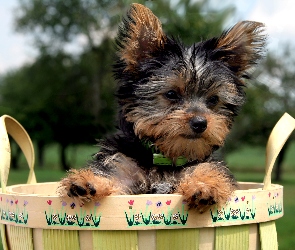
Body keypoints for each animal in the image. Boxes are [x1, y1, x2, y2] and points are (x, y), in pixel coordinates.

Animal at [59, 2, 268, 212]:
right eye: (171, 94)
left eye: (213, 100)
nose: (200, 123)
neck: (166, 158)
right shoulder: (123, 164)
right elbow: (111, 173)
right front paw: (89, 181)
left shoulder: (203, 163)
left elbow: (208, 168)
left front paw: (205, 185)